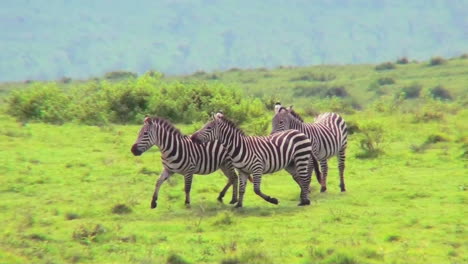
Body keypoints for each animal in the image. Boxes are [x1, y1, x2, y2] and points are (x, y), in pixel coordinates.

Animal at [191, 112, 322, 207]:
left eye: (208, 128)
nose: (192, 138)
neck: (239, 147)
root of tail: (300, 133)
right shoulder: (242, 171)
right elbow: (242, 189)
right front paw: (238, 205)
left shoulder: (257, 168)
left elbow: (256, 190)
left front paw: (272, 200)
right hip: (290, 164)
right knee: (300, 178)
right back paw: (304, 198)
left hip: (301, 158)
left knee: (305, 178)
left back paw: (305, 201)